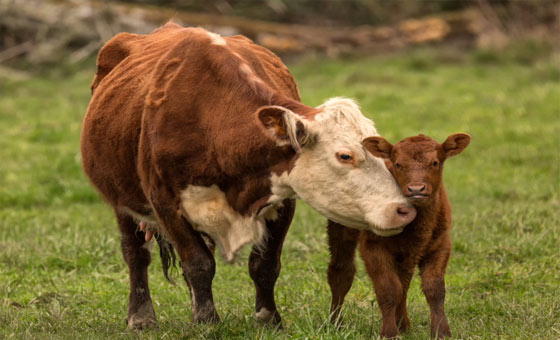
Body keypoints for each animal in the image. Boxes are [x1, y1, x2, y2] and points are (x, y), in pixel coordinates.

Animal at [80, 22, 416, 328]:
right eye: (345, 155)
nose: (404, 210)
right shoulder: (165, 202)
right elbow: (198, 263)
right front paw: (206, 321)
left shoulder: (282, 199)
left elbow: (263, 265)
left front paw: (268, 318)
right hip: (122, 200)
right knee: (135, 253)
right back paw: (141, 317)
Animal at [326, 134, 470, 338]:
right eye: (398, 164)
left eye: (435, 162)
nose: (416, 189)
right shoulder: (373, 246)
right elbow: (388, 289)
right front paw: (389, 332)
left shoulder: (440, 245)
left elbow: (434, 289)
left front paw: (441, 331)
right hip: (340, 227)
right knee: (341, 272)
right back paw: (335, 324)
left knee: (404, 282)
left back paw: (404, 325)